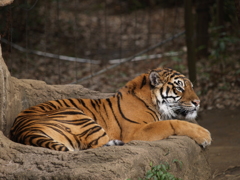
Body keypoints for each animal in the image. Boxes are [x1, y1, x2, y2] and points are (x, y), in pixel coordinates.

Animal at [9, 68, 212, 151]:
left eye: (191, 86)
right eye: (179, 88)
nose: (198, 102)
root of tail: (23, 130)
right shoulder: (136, 132)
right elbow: (174, 123)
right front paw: (204, 135)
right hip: (79, 116)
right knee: (97, 146)